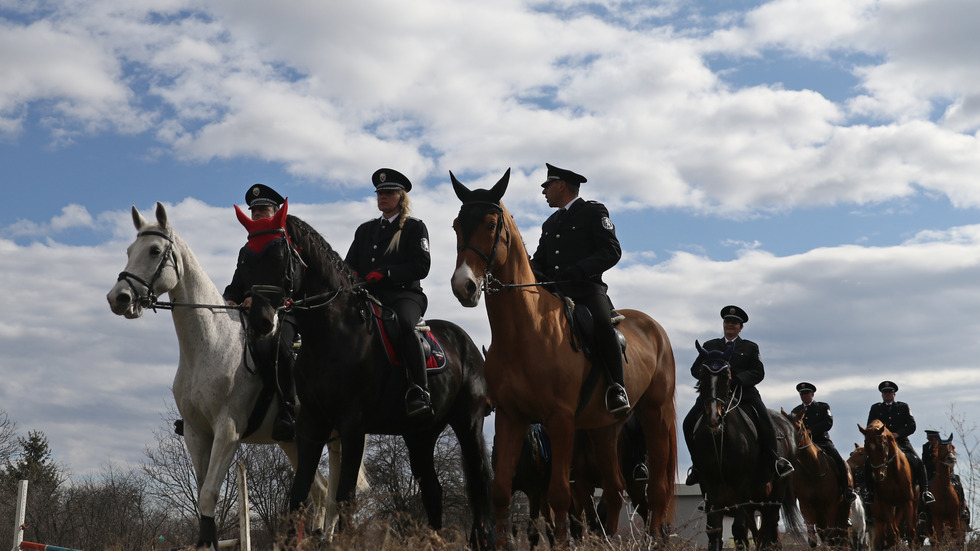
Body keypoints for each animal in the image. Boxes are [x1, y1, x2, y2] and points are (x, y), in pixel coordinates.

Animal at [104, 204, 364, 551]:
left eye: (155, 250)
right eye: (129, 251)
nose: (118, 298)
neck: (209, 343)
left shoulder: (227, 431)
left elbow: (208, 495)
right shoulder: (197, 433)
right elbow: (203, 496)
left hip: (334, 434)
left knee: (335, 496)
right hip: (294, 440)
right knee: (321, 492)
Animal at [251, 216, 494, 548]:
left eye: (279, 255)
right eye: (248, 255)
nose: (260, 320)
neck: (331, 332)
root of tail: (467, 342)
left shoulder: (352, 426)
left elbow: (344, 497)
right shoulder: (311, 425)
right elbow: (298, 495)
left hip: (468, 424)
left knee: (479, 484)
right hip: (420, 434)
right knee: (433, 490)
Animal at [448, 170, 676, 548]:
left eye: (491, 223)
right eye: (456, 225)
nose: (462, 286)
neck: (526, 330)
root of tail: (654, 327)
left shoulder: (560, 420)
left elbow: (559, 497)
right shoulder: (511, 417)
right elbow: (501, 491)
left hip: (655, 413)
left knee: (656, 488)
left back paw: (655, 539)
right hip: (604, 428)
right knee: (613, 491)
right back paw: (608, 540)